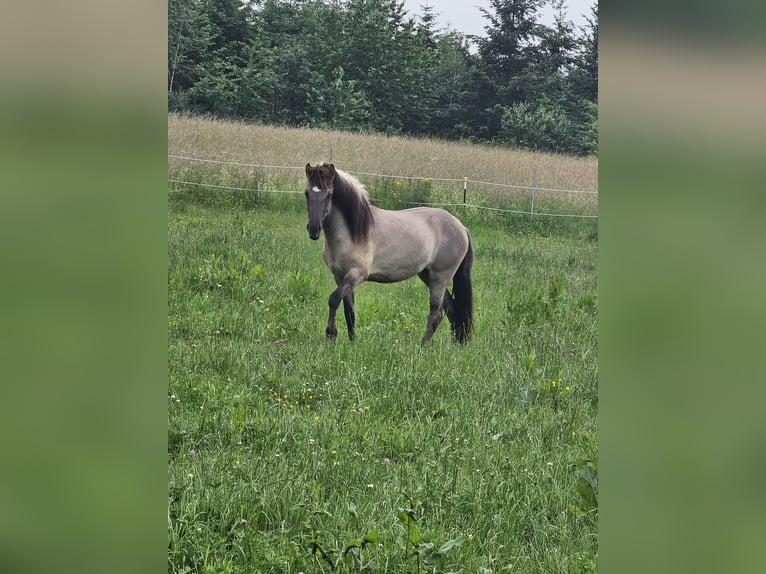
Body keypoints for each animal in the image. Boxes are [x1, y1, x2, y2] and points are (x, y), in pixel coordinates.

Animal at [304, 162, 474, 344]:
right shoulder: (340, 276)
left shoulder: (357, 274)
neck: (352, 232)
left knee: (436, 313)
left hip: (440, 277)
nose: (313, 229)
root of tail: (462, 227)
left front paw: (330, 334)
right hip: (427, 275)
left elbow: (333, 299)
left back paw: (421, 346)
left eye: (329, 194)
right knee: (451, 309)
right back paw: (455, 344)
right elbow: (349, 312)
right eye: (306, 193)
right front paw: (351, 342)